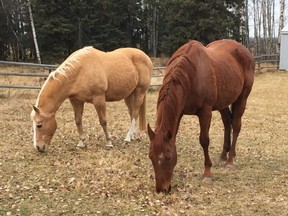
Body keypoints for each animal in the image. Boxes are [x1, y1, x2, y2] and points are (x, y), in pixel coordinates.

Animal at [148, 38, 254, 192]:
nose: (162, 189)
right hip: (222, 102)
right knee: (227, 121)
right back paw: (224, 154)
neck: (192, 74)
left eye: (168, 157)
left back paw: (230, 160)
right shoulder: (179, 112)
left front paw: (207, 173)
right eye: (151, 157)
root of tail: (245, 50)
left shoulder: (205, 111)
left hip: (242, 97)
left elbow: (204, 140)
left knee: (236, 125)